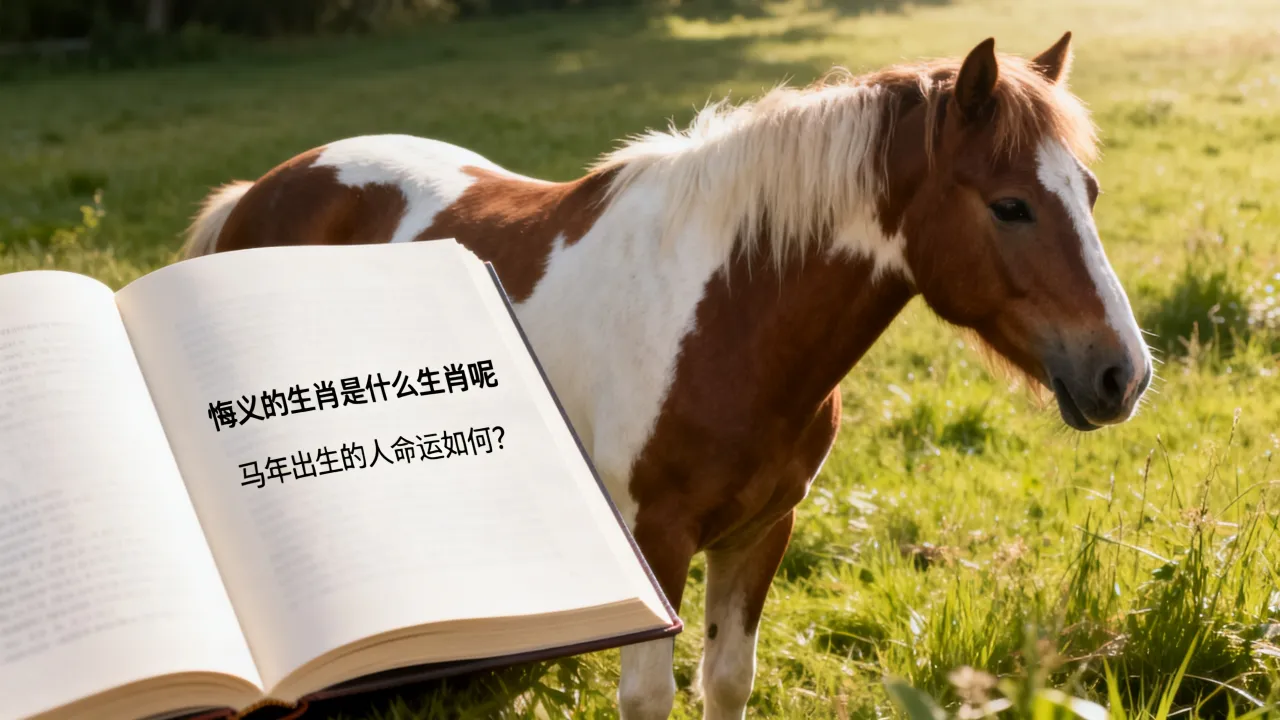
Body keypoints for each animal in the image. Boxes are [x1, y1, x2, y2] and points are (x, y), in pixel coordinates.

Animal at [178, 32, 1152, 720]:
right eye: (1010, 205)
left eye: (1091, 192)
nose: (1125, 374)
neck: (728, 316)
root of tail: (256, 195)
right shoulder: (658, 535)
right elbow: (649, 695)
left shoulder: (761, 529)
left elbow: (727, 680)